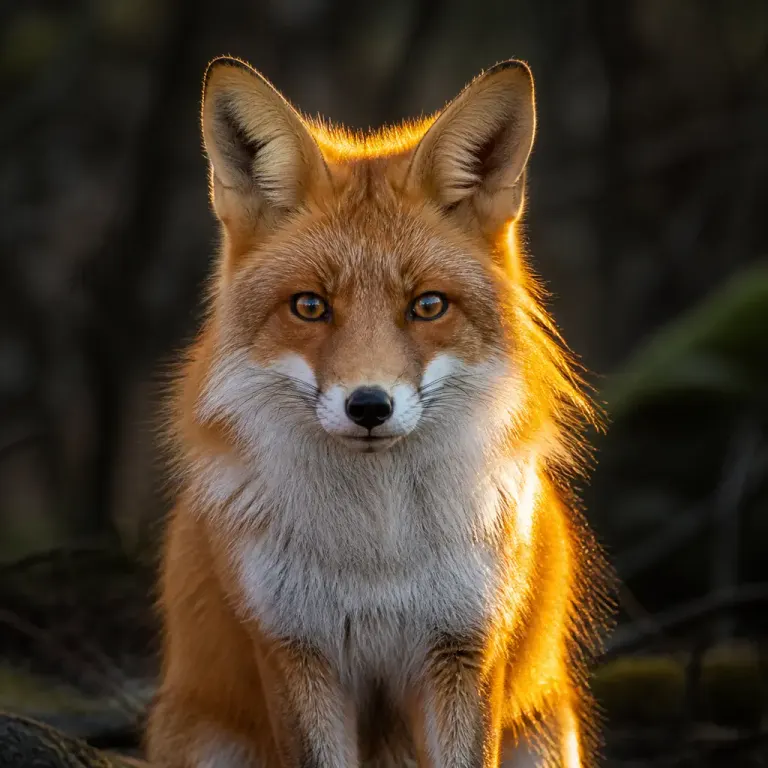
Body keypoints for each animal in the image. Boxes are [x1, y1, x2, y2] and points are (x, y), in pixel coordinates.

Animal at [146, 55, 614, 768]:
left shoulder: (463, 649)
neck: (377, 553)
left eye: (428, 305)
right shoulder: (295, 654)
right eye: (310, 306)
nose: (369, 405)